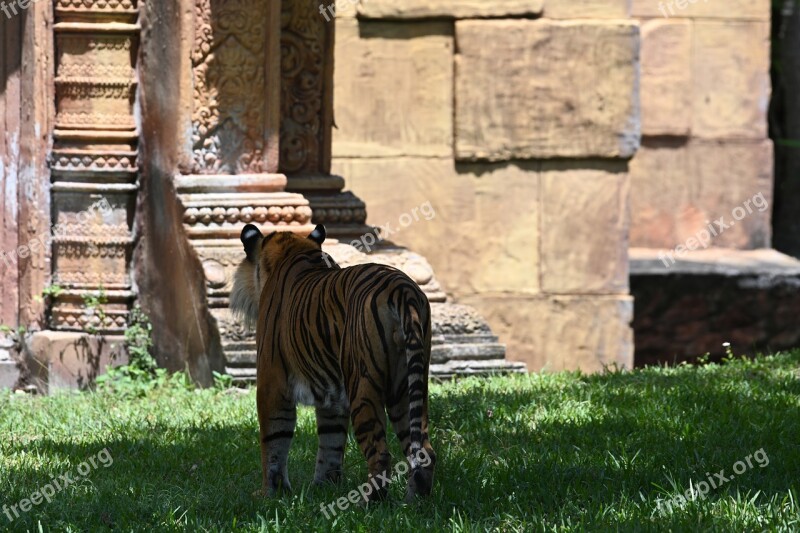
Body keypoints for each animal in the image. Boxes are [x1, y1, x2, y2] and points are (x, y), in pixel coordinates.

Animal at [228, 221, 434, 502]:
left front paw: (271, 493)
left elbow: (274, 440)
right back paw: (414, 501)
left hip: (363, 386)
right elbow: (331, 441)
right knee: (423, 450)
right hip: (408, 386)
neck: (294, 249)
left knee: (380, 452)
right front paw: (322, 486)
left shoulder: (272, 381)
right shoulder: (331, 395)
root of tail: (402, 290)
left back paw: (369, 503)